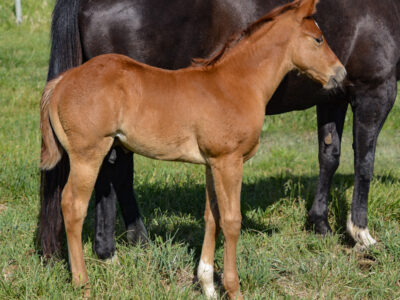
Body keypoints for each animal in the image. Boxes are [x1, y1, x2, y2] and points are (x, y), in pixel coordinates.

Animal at [39, 0, 400, 258]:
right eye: (318, 39)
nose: (340, 71)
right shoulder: (375, 89)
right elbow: (364, 162)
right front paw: (361, 232)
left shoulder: (332, 96)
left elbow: (329, 155)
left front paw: (321, 224)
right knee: (112, 172)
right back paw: (116, 247)